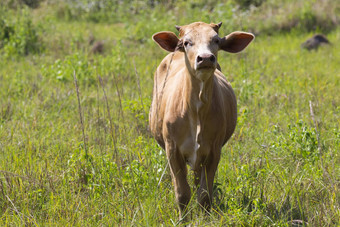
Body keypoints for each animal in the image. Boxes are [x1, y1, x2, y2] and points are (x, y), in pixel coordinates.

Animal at [150, 21, 254, 220]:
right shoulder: (172, 150)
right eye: (186, 42)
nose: (205, 58)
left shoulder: (213, 151)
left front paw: (205, 217)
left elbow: (205, 193)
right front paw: (183, 219)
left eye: (216, 40)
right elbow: (182, 192)